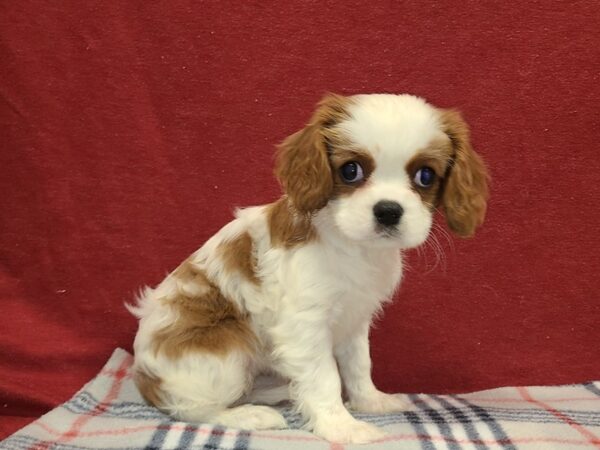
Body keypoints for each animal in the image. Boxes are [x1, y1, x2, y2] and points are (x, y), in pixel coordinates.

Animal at [126, 92, 488, 442]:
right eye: (351, 171)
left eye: (425, 176)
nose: (388, 210)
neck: (356, 248)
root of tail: (144, 378)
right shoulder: (304, 325)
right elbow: (324, 377)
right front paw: (342, 427)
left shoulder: (355, 319)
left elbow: (359, 364)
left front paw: (370, 401)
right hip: (225, 348)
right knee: (192, 408)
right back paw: (249, 414)